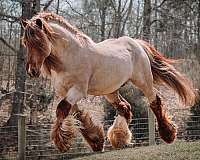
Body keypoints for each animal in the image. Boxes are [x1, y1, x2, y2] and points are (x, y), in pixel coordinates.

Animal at [21, 11, 196, 152]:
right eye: (25, 42)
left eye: (38, 41)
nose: (32, 71)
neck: (70, 57)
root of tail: (136, 43)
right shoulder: (64, 92)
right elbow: (76, 114)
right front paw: (96, 142)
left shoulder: (77, 90)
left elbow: (61, 110)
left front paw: (61, 143)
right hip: (111, 91)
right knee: (125, 108)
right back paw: (119, 138)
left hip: (143, 81)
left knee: (155, 101)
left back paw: (168, 134)